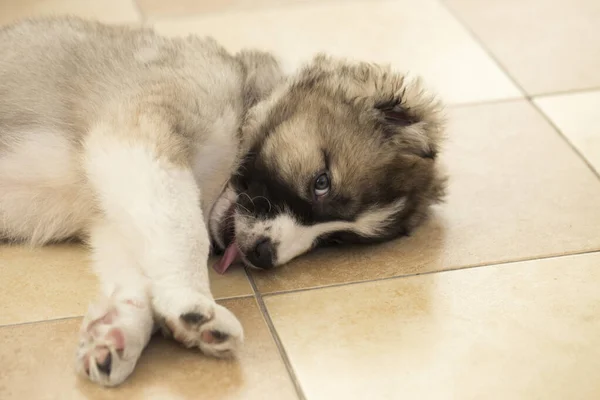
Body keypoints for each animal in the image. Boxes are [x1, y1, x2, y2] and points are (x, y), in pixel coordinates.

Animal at [0, 17, 446, 386]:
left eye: (333, 240)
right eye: (321, 182)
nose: (264, 255)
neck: (241, 104)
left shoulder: (115, 209)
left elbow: (139, 271)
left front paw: (119, 333)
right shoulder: (137, 137)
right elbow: (185, 234)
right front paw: (193, 303)